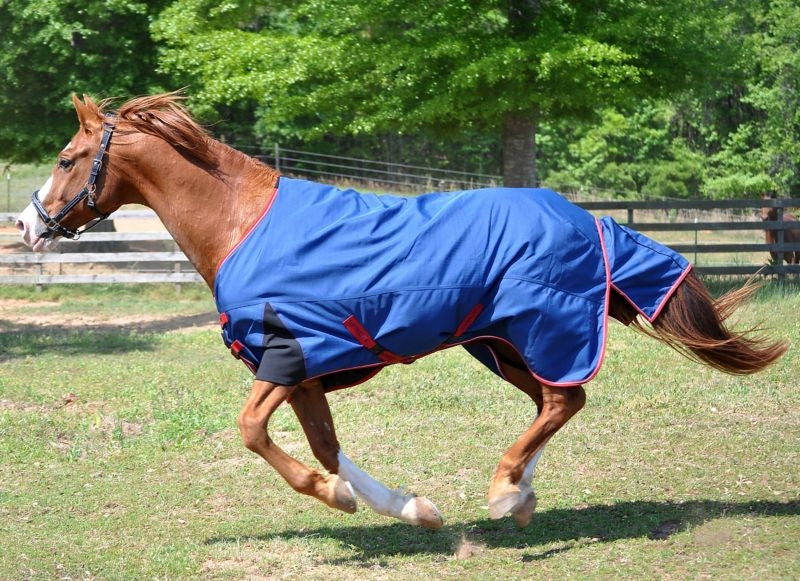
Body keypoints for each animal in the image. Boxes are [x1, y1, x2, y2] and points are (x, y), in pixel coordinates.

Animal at [16, 93, 788, 530]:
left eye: (66, 157)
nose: (26, 227)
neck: (241, 224)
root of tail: (584, 217)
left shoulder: (284, 355)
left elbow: (254, 433)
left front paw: (335, 498)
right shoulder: (305, 372)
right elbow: (326, 445)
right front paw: (410, 508)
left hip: (540, 330)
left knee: (564, 398)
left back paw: (505, 489)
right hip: (500, 344)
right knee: (557, 401)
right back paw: (520, 493)